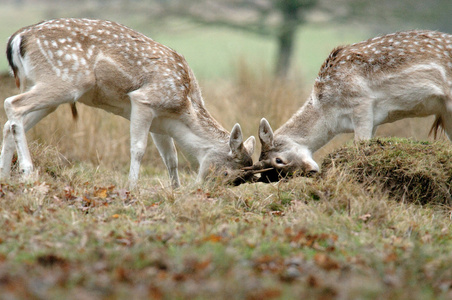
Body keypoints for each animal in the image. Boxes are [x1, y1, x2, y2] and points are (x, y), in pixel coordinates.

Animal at [0, 18, 258, 188]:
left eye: (237, 181)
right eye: (227, 175)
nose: (203, 192)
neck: (183, 107)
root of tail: (16, 39)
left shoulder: (160, 122)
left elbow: (171, 157)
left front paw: (175, 191)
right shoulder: (145, 99)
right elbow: (138, 149)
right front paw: (132, 187)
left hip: (43, 88)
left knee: (10, 124)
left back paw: (5, 177)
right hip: (65, 81)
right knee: (12, 103)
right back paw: (27, 172)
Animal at [249, 29, 452, 183]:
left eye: (278, 160)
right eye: (278, 176)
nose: (311, 171)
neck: (331, 117)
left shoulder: (361, 102)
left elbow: (360, 144)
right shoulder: (374, 119)